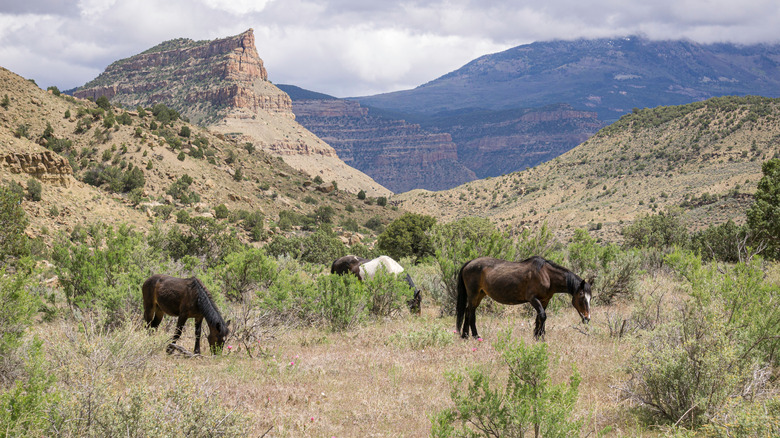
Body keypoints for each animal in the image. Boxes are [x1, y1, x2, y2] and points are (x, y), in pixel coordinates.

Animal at [458, 255, 592, 340]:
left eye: (590, 298)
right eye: (581, 297)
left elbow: (540, 317)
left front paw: (538, 336)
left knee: (468, 312)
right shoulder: (533, 299)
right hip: (473, 294)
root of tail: (469, 263)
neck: (546, 275)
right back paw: (475, 336)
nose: (587, 318)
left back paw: (465, 336)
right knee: (470, 313)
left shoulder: (544, 301)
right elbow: (543, 316)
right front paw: (540, 337)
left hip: (480, 294)